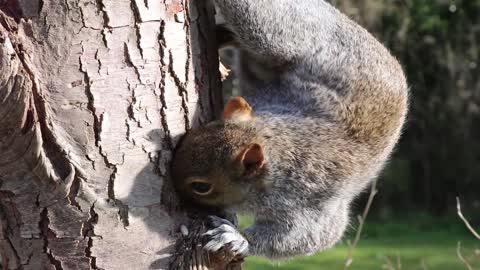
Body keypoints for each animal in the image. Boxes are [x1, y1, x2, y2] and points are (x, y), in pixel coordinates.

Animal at [171, 0, 406, 260]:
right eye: (199, 131)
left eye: (201, 187)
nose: (171, 183)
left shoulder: (309, 201)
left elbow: (310, 236)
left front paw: (237, 238)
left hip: (281, 36)